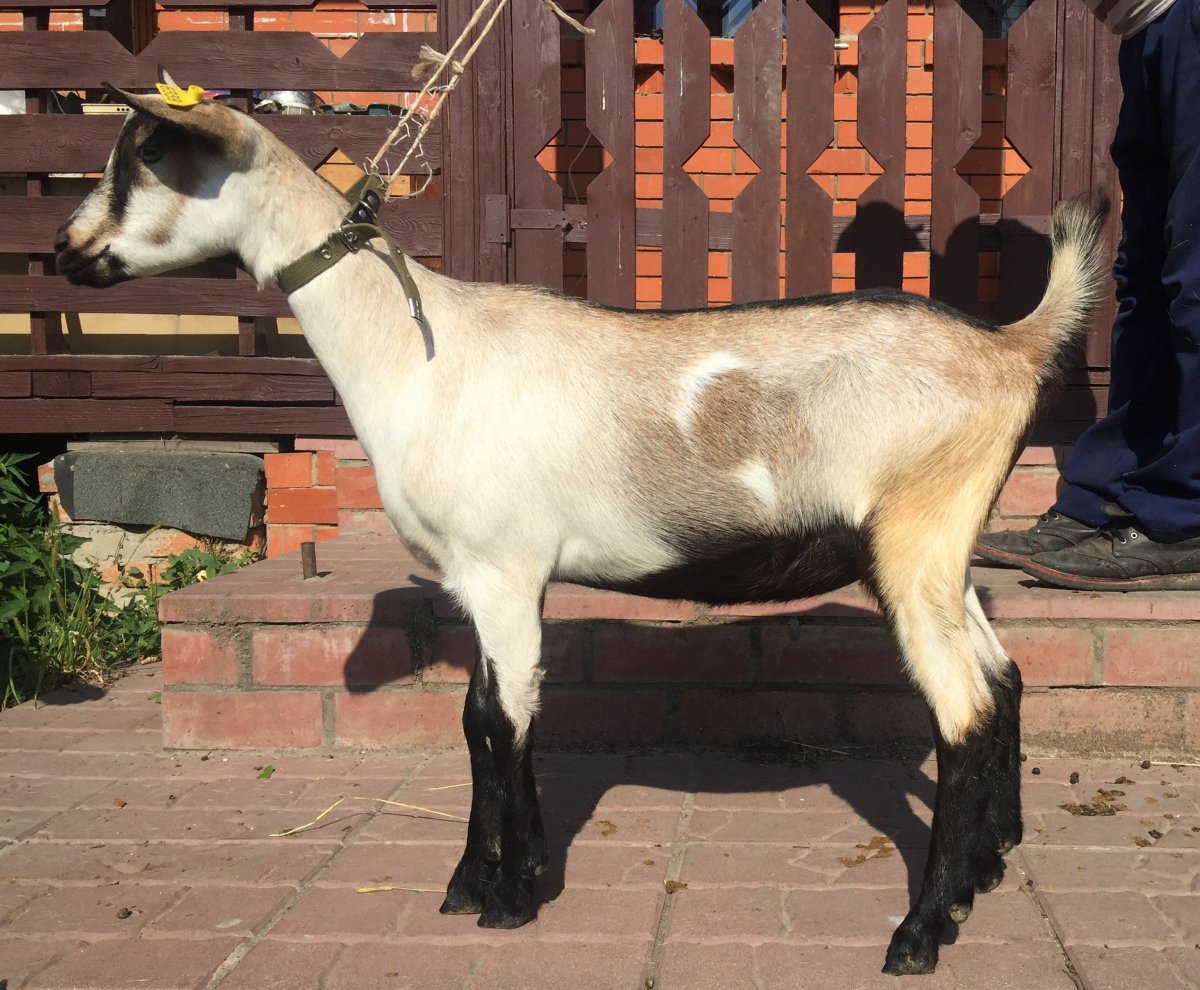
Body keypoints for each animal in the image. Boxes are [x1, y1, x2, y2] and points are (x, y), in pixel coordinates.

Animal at [55, 89, 1107, 976]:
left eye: (150, 155)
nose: (65, 251)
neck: (417, 347)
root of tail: (1011, 345)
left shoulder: (505, 567)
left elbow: (504, 722)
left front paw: (511, 896)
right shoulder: (474, 579)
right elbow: (477, 717)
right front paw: (473, 883)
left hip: (916, 535)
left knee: (962, 712)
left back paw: (920, 932)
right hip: (942, 552)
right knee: (1004, 682)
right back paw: (986, 870)